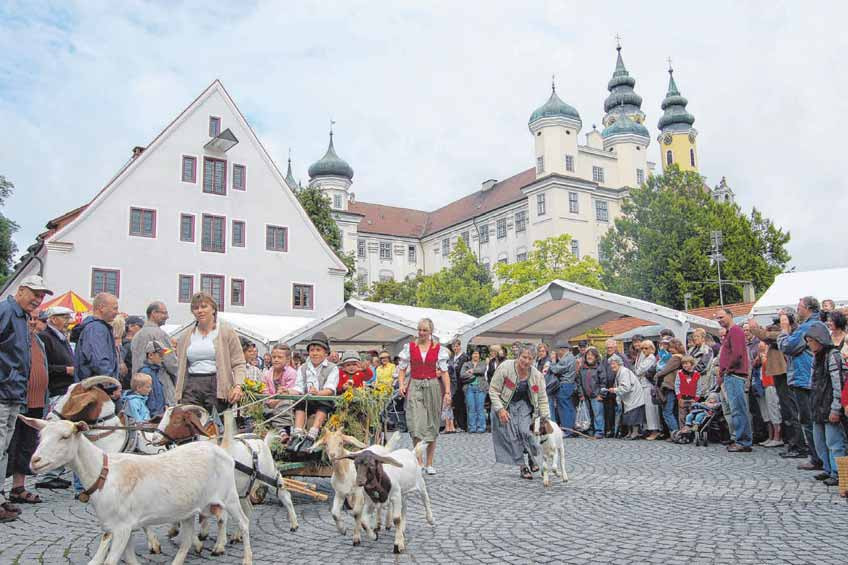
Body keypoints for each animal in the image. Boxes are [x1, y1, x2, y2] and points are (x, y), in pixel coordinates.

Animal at [20, 410, 252, 564]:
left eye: (65, 436)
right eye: (40, 436)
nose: (35, 461)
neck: (104, 474)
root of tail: (221, 449)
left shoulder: (122, 529)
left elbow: (111, 561)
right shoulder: (122, 527)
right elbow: (129, 559)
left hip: (229, 497)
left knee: (243, 522)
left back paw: (246, 558)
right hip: (188, 509)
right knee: (186, 541)